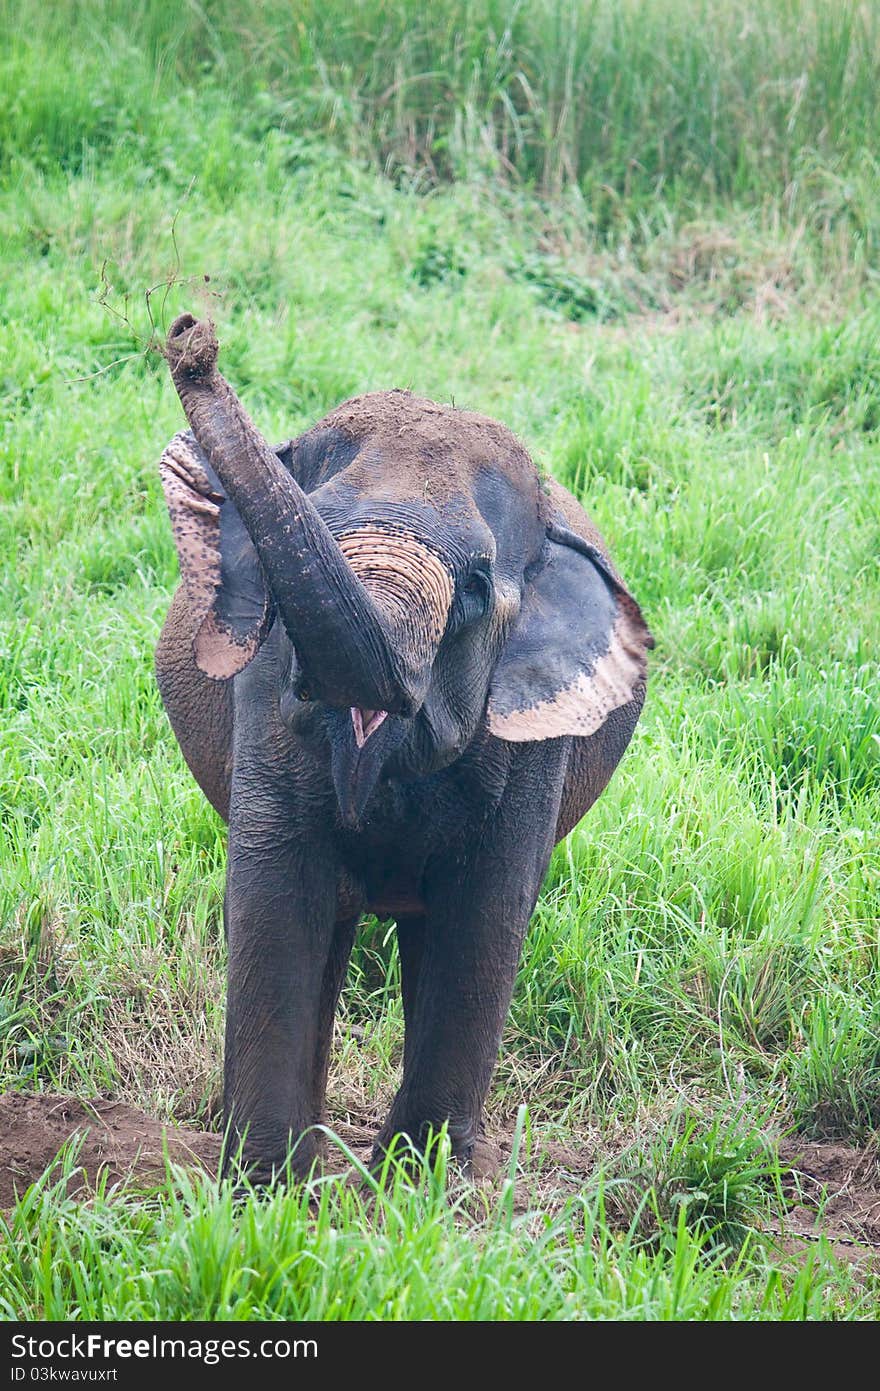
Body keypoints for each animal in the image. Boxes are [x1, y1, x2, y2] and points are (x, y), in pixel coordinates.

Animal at [156, 318, 653, 1185]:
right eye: (311, 525)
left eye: (479, 587)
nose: (192, 338)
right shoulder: (264, 689)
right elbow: (277, 891)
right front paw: (266, 1189)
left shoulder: (534, 743)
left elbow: (485, 914)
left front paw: (419, 1186)